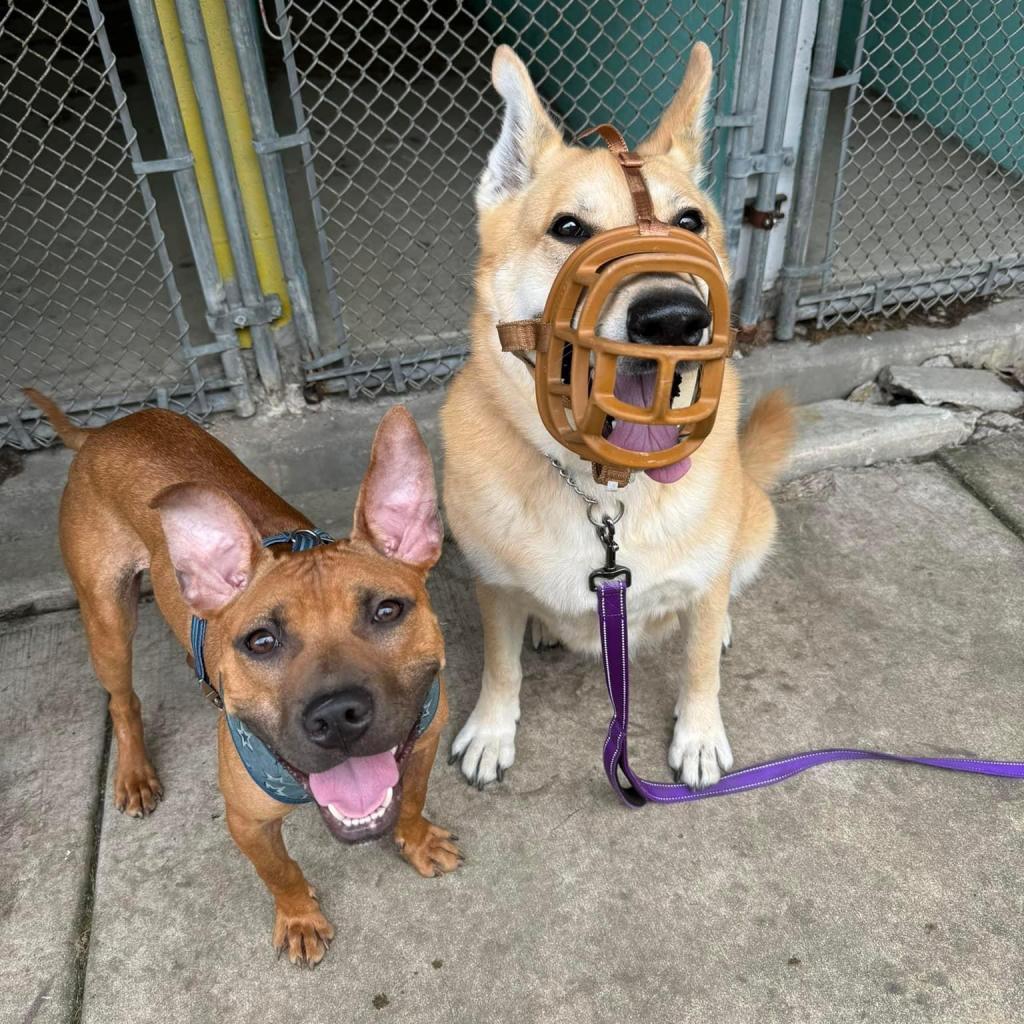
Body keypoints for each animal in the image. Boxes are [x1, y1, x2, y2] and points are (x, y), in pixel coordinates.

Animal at [27, 387, 460, 962]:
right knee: (122, 699)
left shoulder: (424, 740)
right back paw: (135, 773)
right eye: (262, 641)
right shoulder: (247, 820)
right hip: (107, 622)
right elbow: (279, 871)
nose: (336, 715)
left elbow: (411, 797)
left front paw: (417, 839)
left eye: (387, 611)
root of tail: (101, 432)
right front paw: (299, 917)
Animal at [440, 44, 790, 786]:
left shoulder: (702, 583)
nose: (675, 320)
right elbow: (499, 665)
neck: (602, 488)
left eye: (690, 223)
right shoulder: (493, 588)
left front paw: (699, 734)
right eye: (569, 228)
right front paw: (492, 729)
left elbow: (697, 666)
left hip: (755, 524)